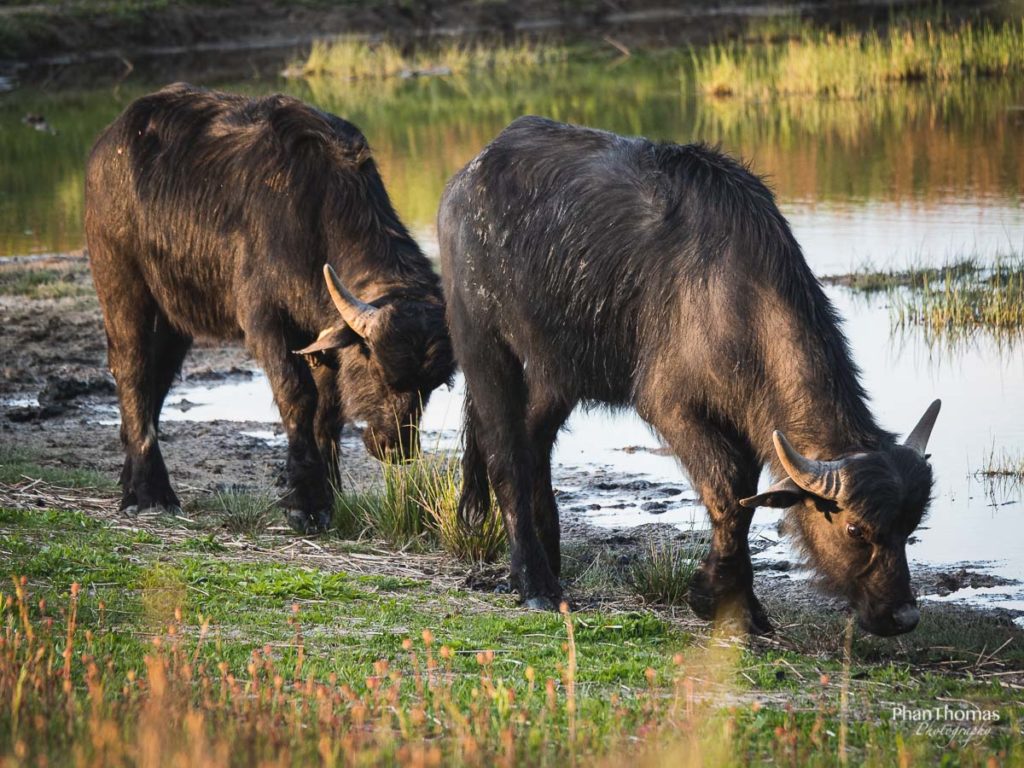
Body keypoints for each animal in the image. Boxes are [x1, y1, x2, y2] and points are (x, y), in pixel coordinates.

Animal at [86, 81, 454, 532]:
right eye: (378, 371)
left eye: (430, 386)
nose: (396, 447)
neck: (318, 215)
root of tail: (109, 142)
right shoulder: (266, 321)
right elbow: (298, 397)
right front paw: (305, 502)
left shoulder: (322, 334)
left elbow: (328, 411)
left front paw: (328, 494)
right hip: (121, 283)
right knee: (132, 370)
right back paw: (150, 494)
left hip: (174, 317)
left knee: (159, 376)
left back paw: (132, 480)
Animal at [436, 115, 937, 638]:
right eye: (856, 529)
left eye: (909, 528)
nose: (903, 616)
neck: (736, 297)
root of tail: (467, 178)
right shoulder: (669, 404)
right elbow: (729, 487)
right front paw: (712, 595)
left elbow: (745, 499)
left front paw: (744, 604)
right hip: (483, 345)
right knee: (505, 454)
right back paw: (535, 584)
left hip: (558, 373)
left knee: (534, 444)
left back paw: (549, 563)